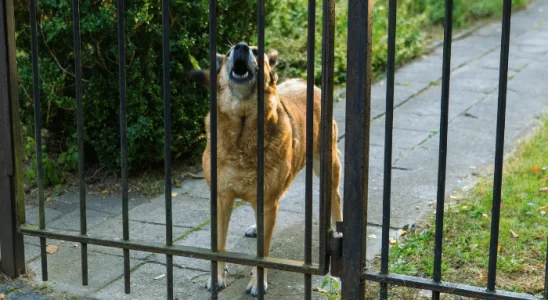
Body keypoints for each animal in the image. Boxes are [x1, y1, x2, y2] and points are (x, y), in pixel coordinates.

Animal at [191, 41, 340, 296]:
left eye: (256, 51)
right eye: (229, 53)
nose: (241, 46)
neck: (242, 134)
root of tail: (304, 82)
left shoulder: (268, 201)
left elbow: (263, 252)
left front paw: (257, 283)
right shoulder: (221, 198)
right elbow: (219, 244)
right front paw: (217, 277)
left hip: (327, 165)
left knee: (336, 198)